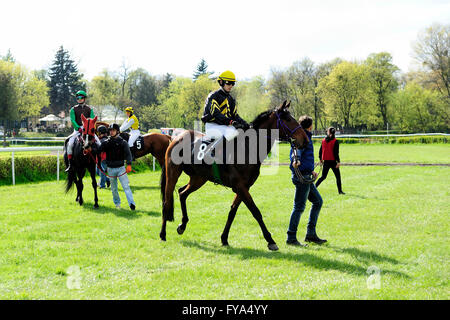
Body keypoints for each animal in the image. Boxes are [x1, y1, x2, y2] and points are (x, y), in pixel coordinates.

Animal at [159, 101, 310, 251]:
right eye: (288, 119)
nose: (306, 140)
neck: (248, 148)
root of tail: (176, 138)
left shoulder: (244, 187)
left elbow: (232, 211)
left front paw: (224, 238)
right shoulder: (240, 186)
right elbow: (256, 211)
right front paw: (270, 240)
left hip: (199, 178)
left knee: (182, 193)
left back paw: (182, 225)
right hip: (173, 173)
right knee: (167, 200)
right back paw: (163, 234)